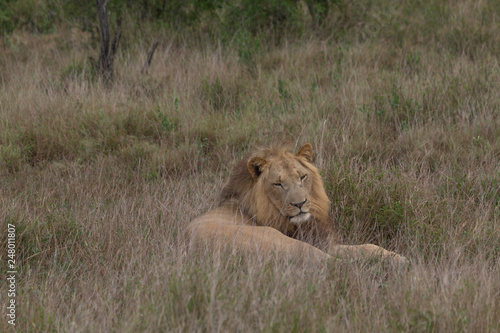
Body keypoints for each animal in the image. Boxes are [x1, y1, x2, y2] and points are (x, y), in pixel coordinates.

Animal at [186, 143, 408, 264]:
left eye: (302, 177)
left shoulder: (323, 240)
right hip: (278, 241)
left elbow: (365, 247)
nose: (300, 203)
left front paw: (396, 257)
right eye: (278, 184)